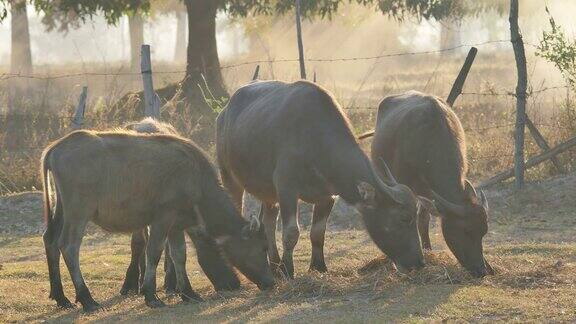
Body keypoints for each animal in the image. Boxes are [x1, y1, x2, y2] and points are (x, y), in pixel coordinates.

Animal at [120, 117, 240, 294]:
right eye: (219, 249)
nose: (234, 283)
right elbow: (138, 244)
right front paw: (130, 282)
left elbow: (169, 249)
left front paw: (172, 282)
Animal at [215, 79, 424, 278]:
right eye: (404, 218)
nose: (419, 263)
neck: (316, 141)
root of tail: (224, 114)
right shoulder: (286, 188)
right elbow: (291, 232)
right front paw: (288, 270)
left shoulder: (328, 196)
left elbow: (318, 232)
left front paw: (318, 267)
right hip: (228, 177)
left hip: (269, 194)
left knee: (269, 223)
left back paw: (274, 265)